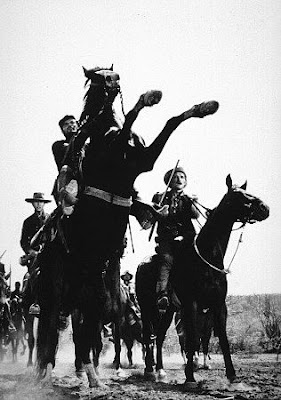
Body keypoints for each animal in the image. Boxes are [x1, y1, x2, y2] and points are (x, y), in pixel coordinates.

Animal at [35, 65, 219, 388]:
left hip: (87, 288)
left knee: (84, 329)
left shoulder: (142, 160)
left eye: (110, 72)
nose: (113, 80)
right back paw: (46, 373)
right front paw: (147, 98)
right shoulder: (119, 158)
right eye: (96, 77)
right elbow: (129, 122)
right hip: (56, 286)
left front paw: (203, 107)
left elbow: (170, 122)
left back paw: (91, 375)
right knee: (51, 325)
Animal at [136, 173, 270, 390]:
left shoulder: (218, 305)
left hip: (169, 310)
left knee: (160, 336)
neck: (207, 257)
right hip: (147, 307)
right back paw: (149, 370)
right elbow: (191, 340)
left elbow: (222, 340)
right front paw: (190, 378)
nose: (264, 208)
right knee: (149, 335)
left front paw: (232, 376)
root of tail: (142, 264)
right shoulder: (192, 304)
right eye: (238, 196)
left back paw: (161, 371)